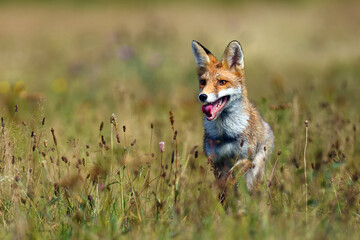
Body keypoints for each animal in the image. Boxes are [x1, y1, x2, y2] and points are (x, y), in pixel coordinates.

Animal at [193, 40, 274, 190]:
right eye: (203, 82)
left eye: (222, 82)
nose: (202, 96)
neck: (224, 133)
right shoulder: (216, 160)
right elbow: (223, 182)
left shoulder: (246, 158)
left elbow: (231, 177)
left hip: (254, 172)